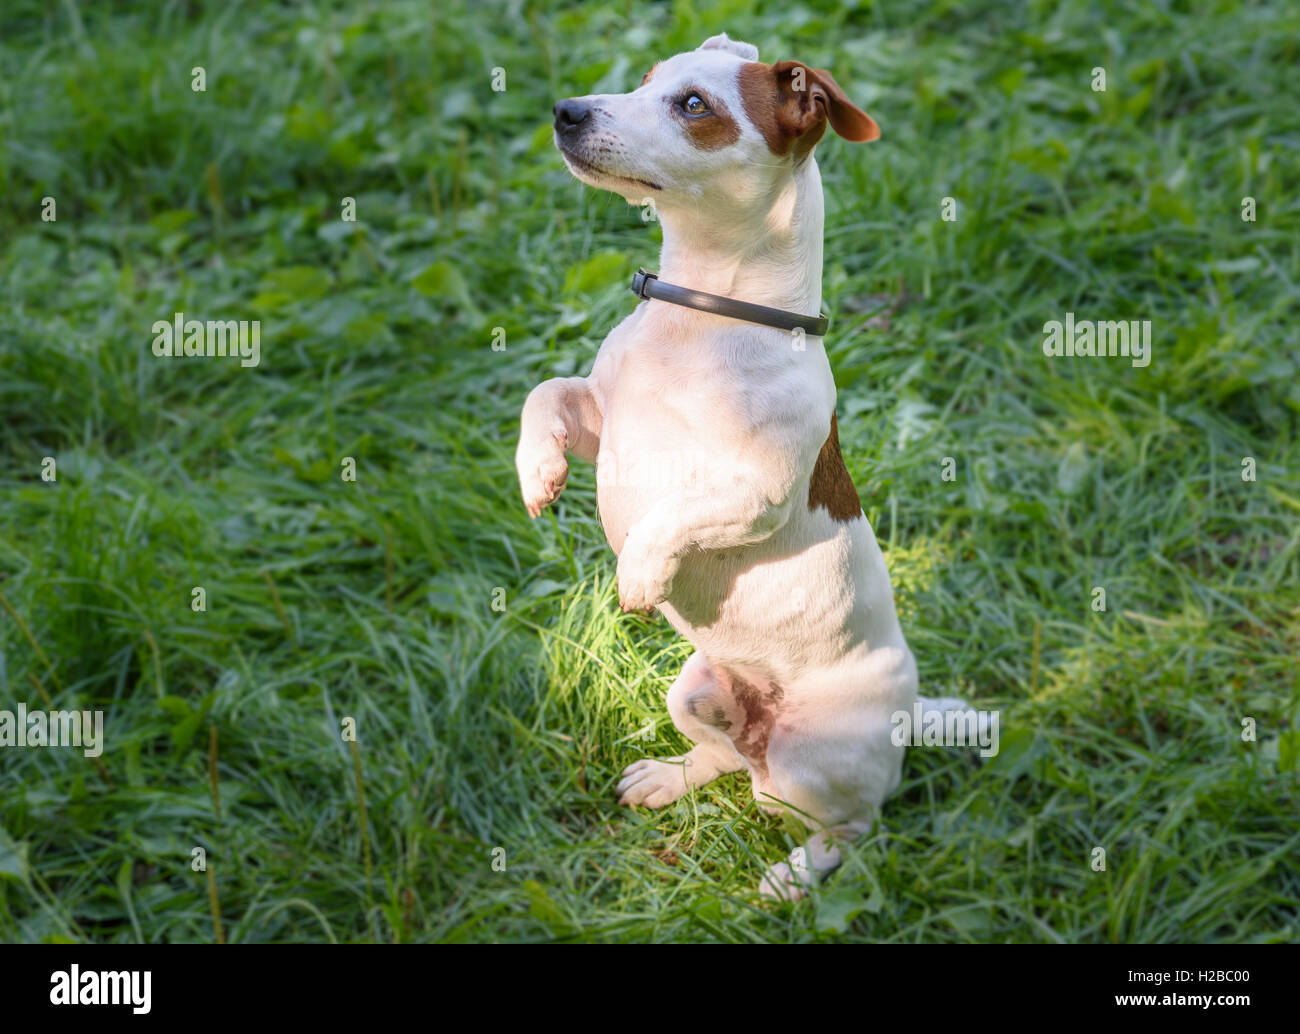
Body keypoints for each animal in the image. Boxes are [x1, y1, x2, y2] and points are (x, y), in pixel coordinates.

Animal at [517, 32, 967, 900]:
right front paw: (536, 474)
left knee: (853, 826)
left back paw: (792, 877)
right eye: (647, 80)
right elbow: (543, 394)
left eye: (695, 106)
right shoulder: (602, 423)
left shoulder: (757, 491)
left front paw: (640, 572)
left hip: (809, 760)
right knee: (725, 754)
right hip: (692, 688)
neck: (701, 315)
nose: (567, 110)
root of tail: (910, 718)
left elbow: (672, 516)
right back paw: (668, 776)